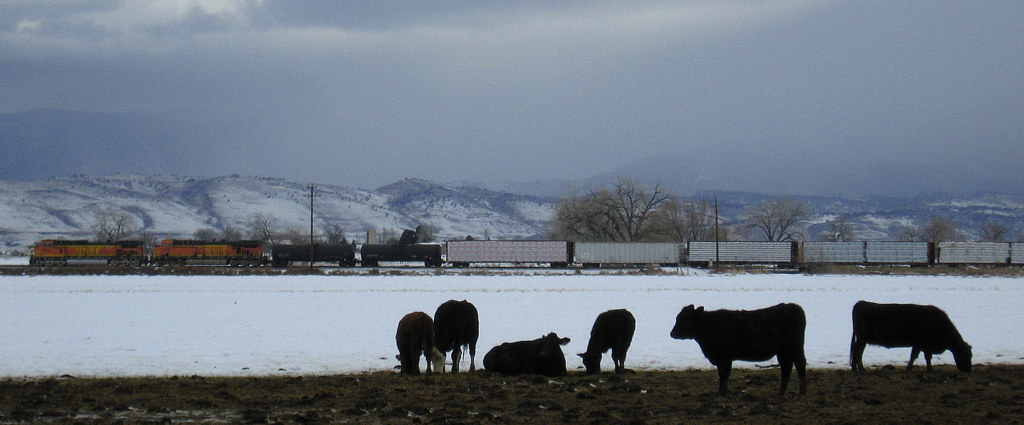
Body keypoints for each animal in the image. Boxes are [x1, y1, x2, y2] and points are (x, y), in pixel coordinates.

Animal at [670, 303, 807, 396]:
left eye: (685, 318)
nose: (672, 333)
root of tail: (794, 307)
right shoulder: (722, 359)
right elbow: (722, 374)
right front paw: (725, 390)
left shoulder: (725, 357)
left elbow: (724, 374)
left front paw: (722, 392)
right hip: (783, 352)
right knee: (786, 368)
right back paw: (781, 392)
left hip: (795, 347)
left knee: (800, 365)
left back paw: (801, 392)